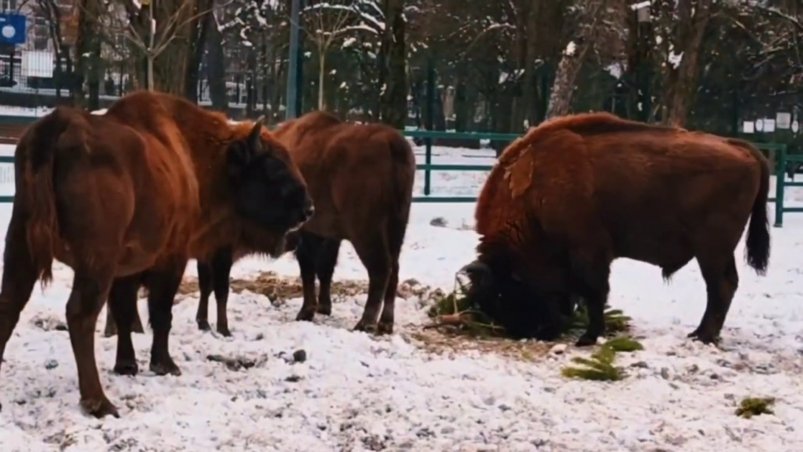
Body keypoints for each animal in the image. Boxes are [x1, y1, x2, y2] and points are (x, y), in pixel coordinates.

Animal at [0, 90, 314, 418]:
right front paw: (165, 364)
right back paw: (99, 402)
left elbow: (126, 313)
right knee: (80, 315)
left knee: (9, 305)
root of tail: (58, 125)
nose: (308, 208)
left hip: (20, 246)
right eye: (274, 166)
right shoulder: (171, 257)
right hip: (95, 262)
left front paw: (126, 365)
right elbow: (161, 312)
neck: (196, 158)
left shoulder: (126, 269)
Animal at [196, 110, 418, 336]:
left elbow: (308, 270)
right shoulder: (325, 235)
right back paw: (386, 323)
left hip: (366, 232)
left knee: (380, 269)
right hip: (397, 227)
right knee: (394, 269)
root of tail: (393, 143)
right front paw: (322, 307)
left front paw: (307, 311)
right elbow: (323, 269)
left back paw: (366, 323)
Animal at [458, 112, 772, 346]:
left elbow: (594, 292)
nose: (526, 332)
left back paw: (702, 336)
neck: (534, 193)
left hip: (711, 250)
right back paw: (700, 334)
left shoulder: (588, 250)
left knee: (720, 286)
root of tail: (741, 147)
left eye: (503, 293)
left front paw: (588, 337)